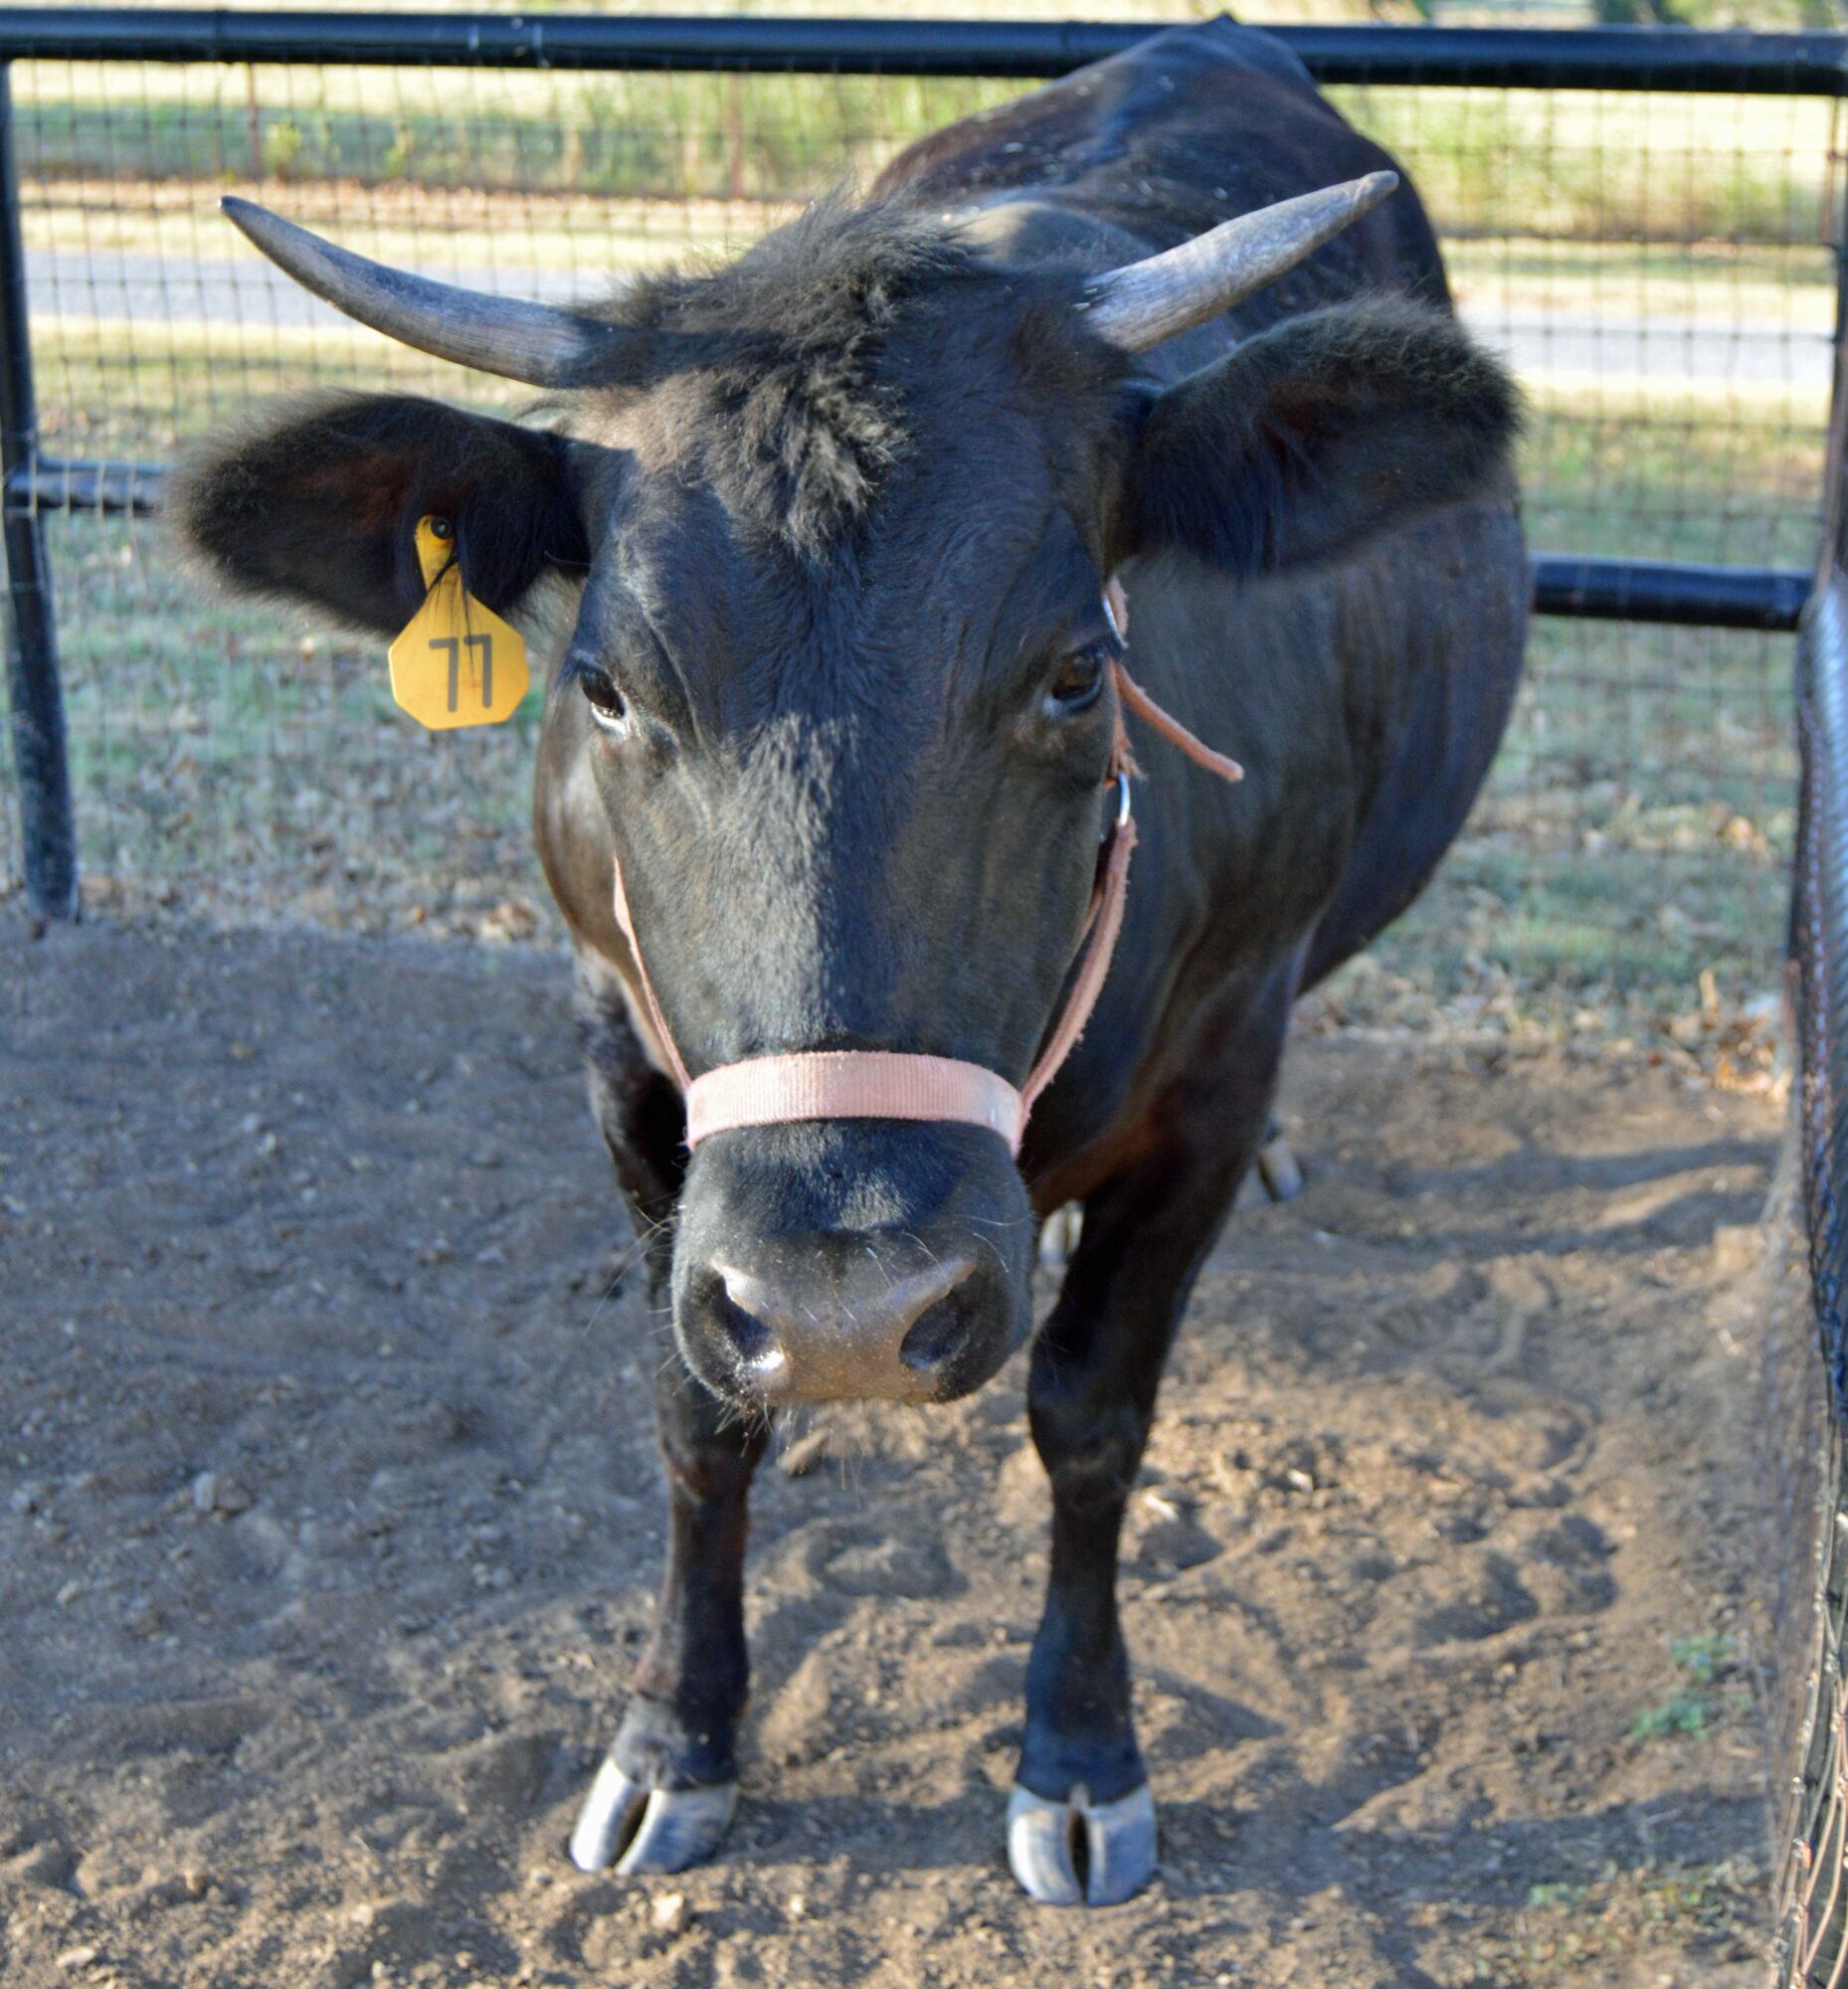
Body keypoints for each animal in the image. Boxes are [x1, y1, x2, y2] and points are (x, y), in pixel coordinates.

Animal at [174, 17, 1525, 1907]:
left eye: (1073, 671)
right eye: (601, 684)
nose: (845, 1313)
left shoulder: (1217, 1063)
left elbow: (1090, 1413)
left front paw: (1080, 1753)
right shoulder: (622, 1061)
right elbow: (694, 1416)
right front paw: (675, 1738)